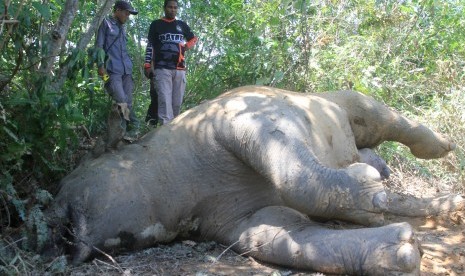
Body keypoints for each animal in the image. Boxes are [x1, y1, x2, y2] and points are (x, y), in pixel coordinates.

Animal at [42, 85, 460, 274]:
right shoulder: (237, 222)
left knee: (388, 120)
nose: (46, 229)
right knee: (399, 188)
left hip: (347, 104)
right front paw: (400, 249)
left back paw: (440, 146)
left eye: (62, 186)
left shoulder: (247, 120)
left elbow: (296, 177)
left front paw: (368, 190)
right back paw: (445, 201)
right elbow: (296, 242)